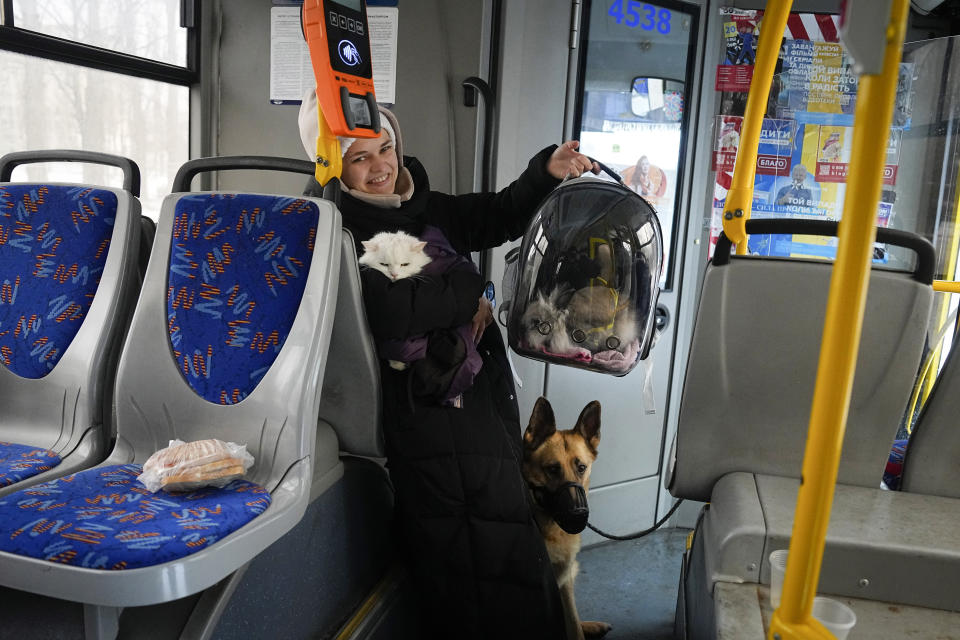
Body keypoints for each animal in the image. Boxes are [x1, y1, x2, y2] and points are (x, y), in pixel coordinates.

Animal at [520, 398, 612, 636]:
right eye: (553, 469)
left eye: (581, 468)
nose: (578, 513)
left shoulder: (564, 583)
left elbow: (573, 624)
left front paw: (580, 628)